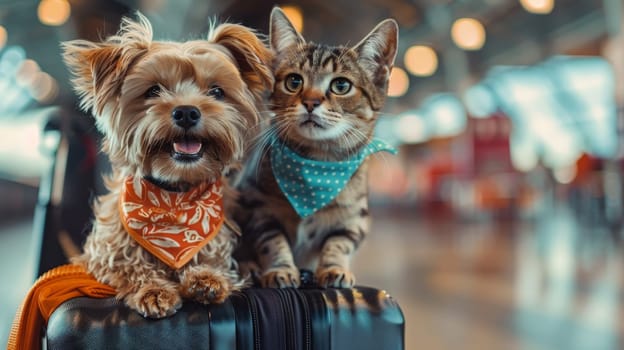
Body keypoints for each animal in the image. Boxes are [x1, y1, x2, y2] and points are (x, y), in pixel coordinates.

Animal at [61, 13, 272, 318]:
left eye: (216, 91)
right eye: (153, 90)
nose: (186, 112)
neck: (174, 198)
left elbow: (215, 260)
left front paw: (206, 278)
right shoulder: (102, 253)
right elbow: (127, 266)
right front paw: (153, 290)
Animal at [234, 6, 400, 288]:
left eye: (341, 85)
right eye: (293, 81)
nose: (311, 102)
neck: (317, 165)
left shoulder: (355, 220)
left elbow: (339, 243)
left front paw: (334, 268)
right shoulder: (256, 207)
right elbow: (271, 241)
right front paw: (280, 269)